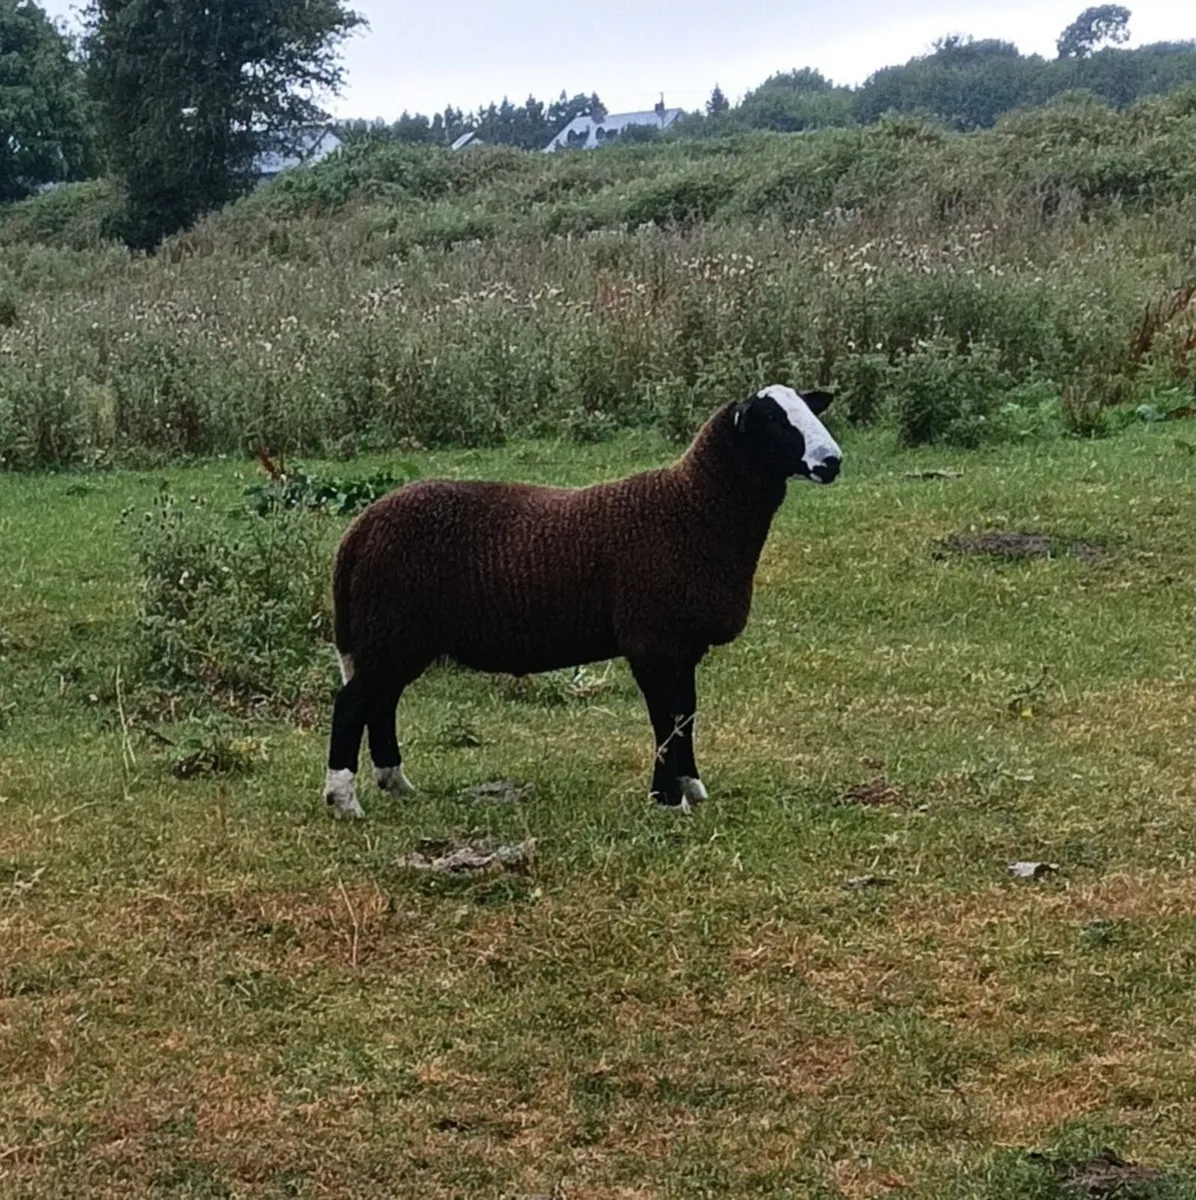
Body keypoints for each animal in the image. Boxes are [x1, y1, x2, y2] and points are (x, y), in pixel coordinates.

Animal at [323, 384, 842, 819]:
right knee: (353, 703)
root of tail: (360, 528)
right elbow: (665, 719)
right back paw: (343, 800)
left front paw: (689, 788)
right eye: (772, 420)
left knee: (381, 703)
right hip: (394, 629)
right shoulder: (651, 640)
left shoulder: (683, 645)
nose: (833, 461)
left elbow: (685, 716)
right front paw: (667, 800)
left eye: (807, 408)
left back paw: (396, 784)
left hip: (396, 634)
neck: (693, 508)